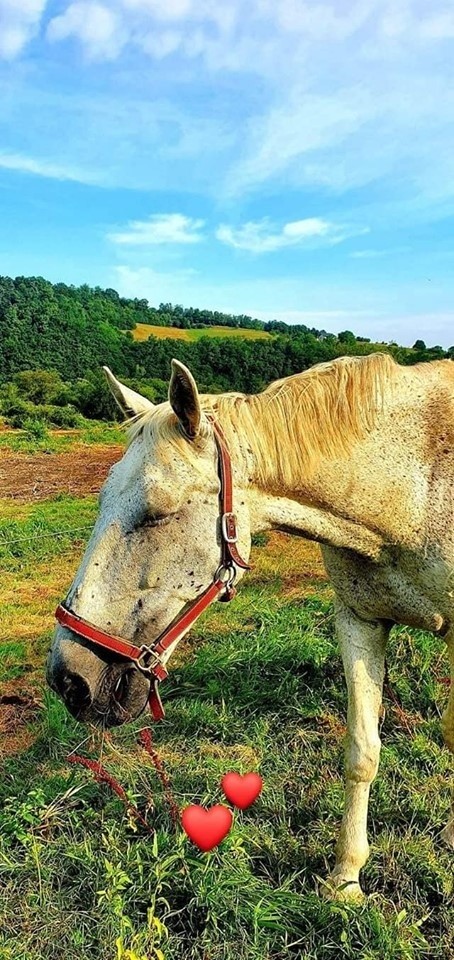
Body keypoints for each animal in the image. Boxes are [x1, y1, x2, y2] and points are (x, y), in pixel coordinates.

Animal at [48, 352, 452, 900]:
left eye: (157, 512)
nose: (69, 680)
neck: (409, 487)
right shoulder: (360, 622)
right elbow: (362, 752)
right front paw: (345, 879)